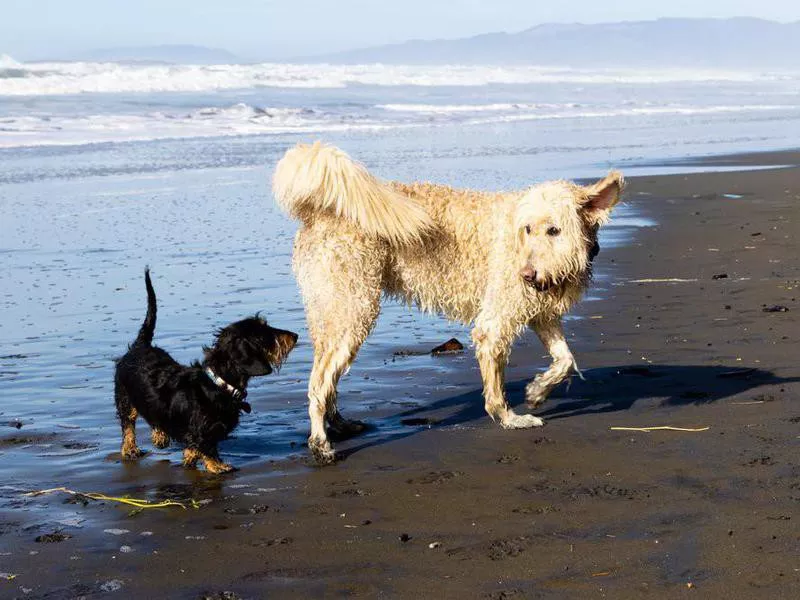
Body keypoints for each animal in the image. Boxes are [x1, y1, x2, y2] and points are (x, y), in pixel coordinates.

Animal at [114, 268, 298, 474]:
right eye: (265, 333)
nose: (295, 336)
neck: (219, 384)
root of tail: (140, 345)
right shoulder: (203, 430)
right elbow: (205, 445)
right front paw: (217, 464)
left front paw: (189, 455)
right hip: (124, 398)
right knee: (128, 425)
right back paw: (130, 449)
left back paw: (160, 436)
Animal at [276, 142, 624, 464]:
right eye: (528, 229)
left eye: (554, 230)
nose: (526, 275)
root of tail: (319, 213)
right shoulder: (494, 324)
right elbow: (496, 389)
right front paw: (510, 419)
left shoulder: (541, 314)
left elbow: (565, 358)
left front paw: (537, 391)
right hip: (353, 312)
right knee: (319, 384)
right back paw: (321, 444)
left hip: (332, 314)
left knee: (326, 378)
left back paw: (341, 425)